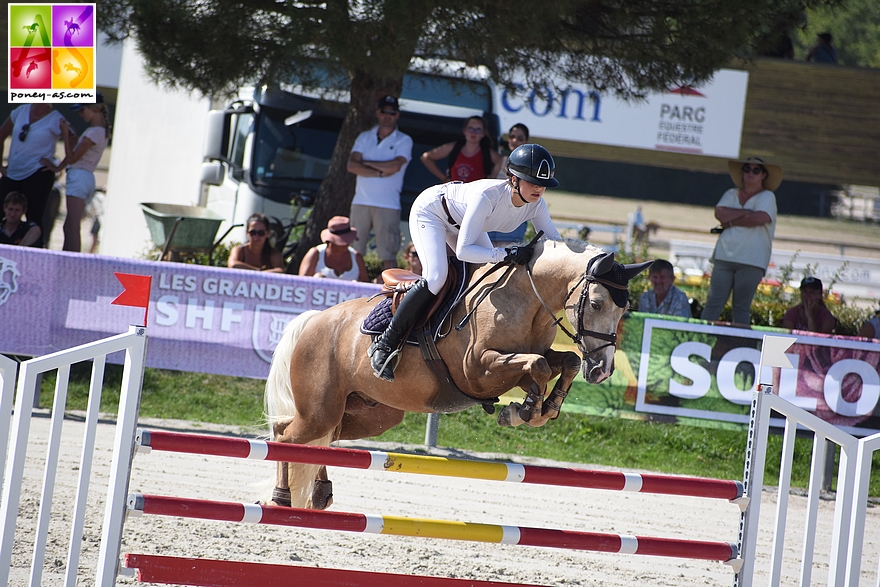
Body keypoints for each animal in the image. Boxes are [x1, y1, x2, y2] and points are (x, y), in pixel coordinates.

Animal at [264, 240, 648, 510]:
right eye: (596, 304)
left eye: (625, 309)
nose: (602, 370)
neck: (525, 300)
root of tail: (315, 320)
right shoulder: (478, 370)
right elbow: (538, 366)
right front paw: (525, 411)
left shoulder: (522, 362)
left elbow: (561, 362)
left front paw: (539, 409)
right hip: (320, 409)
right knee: (286, 435)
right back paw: (282, 496)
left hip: (372, 415)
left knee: (322, 439)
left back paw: (320, 493)